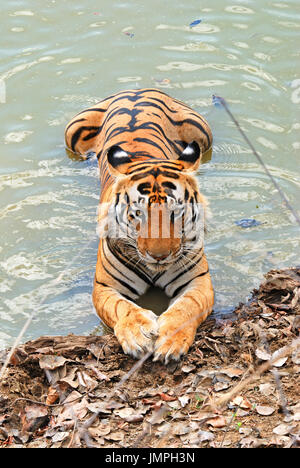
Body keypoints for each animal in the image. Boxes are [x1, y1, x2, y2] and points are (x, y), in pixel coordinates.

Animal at [65, 88, 214, 366]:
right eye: (138, 214)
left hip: (203, 135)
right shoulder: (104, 287)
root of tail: (136, 89)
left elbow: (186, 307)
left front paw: (170, 342)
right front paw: (138, 336)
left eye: (175, 213)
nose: (159, 256)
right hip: (71, 135)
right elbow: (122, 308)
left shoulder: (199, 281)